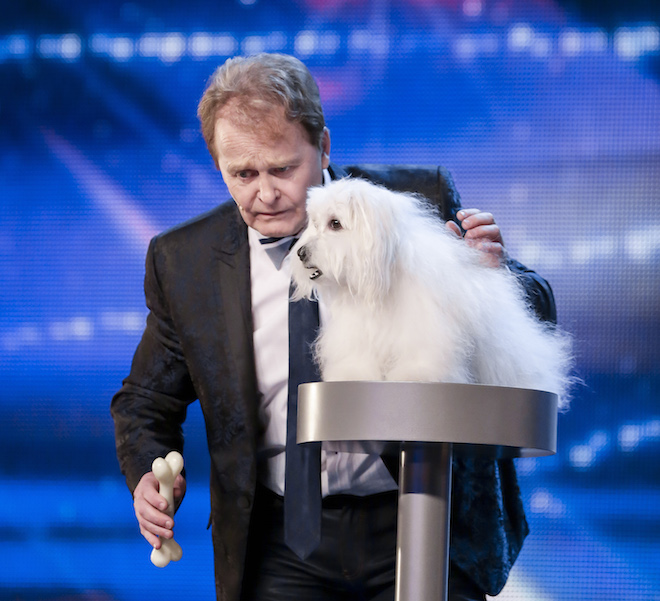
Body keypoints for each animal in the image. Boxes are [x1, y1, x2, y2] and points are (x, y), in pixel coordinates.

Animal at [291, 177, 573, 410]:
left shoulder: (425, 328)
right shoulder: (358, 334)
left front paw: (415, 375)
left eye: (335, 224)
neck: (386, 278)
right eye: (314, 223)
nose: (301, 253)